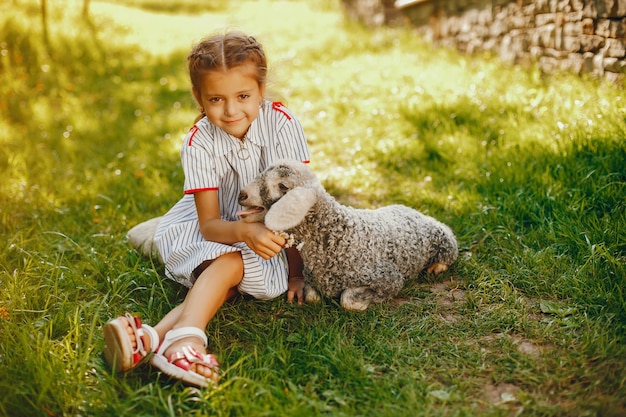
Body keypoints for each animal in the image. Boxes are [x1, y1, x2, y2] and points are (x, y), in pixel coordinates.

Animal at [236, 158, 456, 308]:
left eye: (282, 185)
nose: (242, 195)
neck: (337, 237)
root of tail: (410, 209)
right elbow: (312, 297)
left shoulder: (389, 278)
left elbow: (348, 300)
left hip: (443, 239)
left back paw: (436, 267)